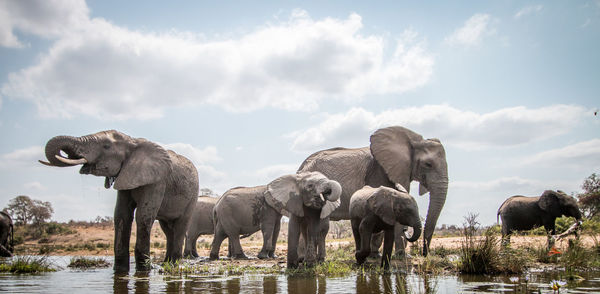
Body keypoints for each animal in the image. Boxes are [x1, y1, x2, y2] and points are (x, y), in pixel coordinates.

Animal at [40, 130, 199, 272]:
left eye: (106, 146)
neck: (132, 141)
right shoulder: (125, 176)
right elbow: (122, 215)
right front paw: (120, 270)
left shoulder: (158, 181)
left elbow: (143, 216)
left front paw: (144, 270)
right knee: (167, 229)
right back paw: (166, 263)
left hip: (192, 197)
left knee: (180, 227)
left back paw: (174, 264)